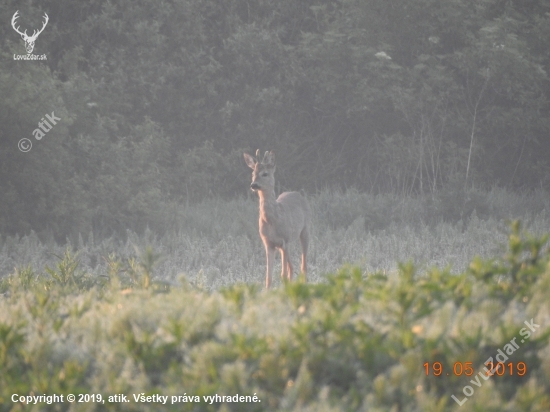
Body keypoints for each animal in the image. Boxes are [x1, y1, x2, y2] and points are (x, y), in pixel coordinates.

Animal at [245, 150, 312, 288]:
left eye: (265, 173)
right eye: (253, 173)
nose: (253, 185)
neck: (272, 220)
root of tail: (298, 193)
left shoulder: (284, 240)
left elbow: (283, 274)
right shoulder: (269, 243)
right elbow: (269, 277)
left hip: (305, 230)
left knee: (303, 265)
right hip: (285, 245)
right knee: (292, 267)